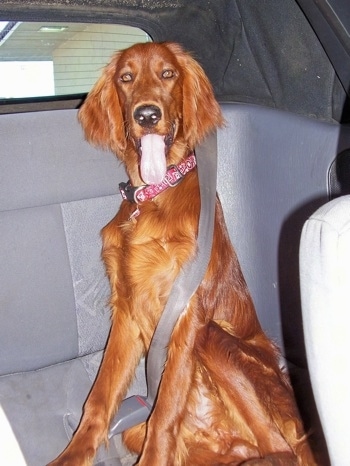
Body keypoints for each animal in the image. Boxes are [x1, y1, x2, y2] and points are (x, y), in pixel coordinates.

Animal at [50, 41, 318, 464]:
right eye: (126, 77)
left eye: (168, 74)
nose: (146, 115)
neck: (155, 194)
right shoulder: (126, 307)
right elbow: (98, 399)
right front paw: (71, 455)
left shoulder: (189, 311)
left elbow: (166, 410)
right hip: (146, 433)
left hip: (216, 340)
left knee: (279, 447)